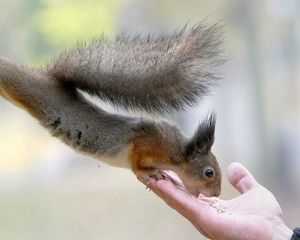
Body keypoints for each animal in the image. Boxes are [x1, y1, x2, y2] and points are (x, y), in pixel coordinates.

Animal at [0, 23, 223, 197]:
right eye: (209, 172)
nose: (216, 194)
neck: (176, 152)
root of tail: (47, 79)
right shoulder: (145, 144)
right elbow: (137, 164)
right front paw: (150, 173)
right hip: (22, 86)